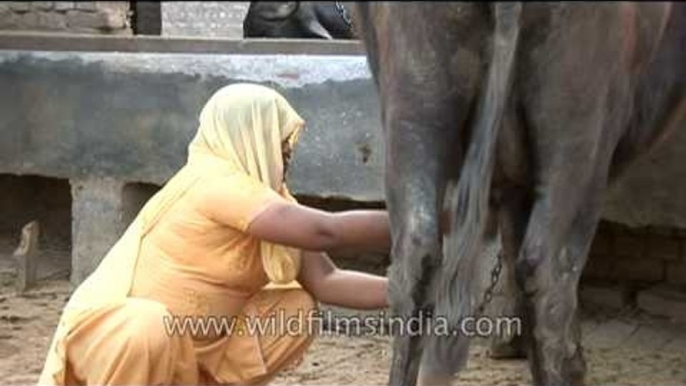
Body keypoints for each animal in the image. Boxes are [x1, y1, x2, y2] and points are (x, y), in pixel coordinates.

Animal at [354, 3, 684, 386]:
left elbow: (511, 237)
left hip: (415, 102)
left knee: (415, 258)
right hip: (580, 127)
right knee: (550, 269)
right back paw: (565, 367)